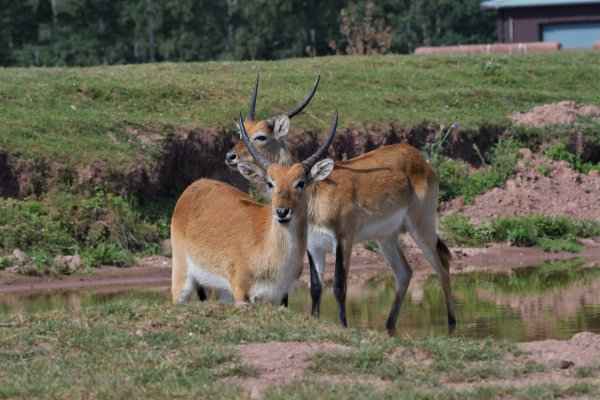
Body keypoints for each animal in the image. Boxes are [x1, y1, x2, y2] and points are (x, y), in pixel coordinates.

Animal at [170, 112, 338, 306]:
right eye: (270, 183)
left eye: (301, 182)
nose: (282, 212)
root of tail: (196, 185)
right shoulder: (241, 294)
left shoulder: (278, 297)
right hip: (182, 281)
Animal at [227, 76, 458, 334]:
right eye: (241, 132)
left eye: (261, 136)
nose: (230, 156)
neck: (316, 195)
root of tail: (417, 156)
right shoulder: (313, 246)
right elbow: (316, 287)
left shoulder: (343, 239)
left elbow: (339, 285)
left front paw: (344, 325)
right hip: (386, 237)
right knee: (404, 272)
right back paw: (389, 326)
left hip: (421, 227)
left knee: (441, 263)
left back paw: (451, 325)